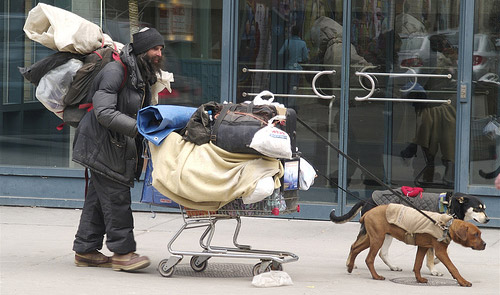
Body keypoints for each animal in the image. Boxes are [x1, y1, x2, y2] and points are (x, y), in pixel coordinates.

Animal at [330, 191, 490, 276]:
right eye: (477, 208)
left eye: (484, 208)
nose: (488, 219)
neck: (450, 206)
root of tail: (367, 199)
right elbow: (431, 255)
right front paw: (433, 269)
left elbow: (442, 253)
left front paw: (435, 262)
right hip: (371, 231)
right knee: (354, 245)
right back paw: (349, 263)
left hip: (387, 232)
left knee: (382, 253)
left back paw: (393, 266)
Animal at [348, 206, 484, 286]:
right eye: (475, 234)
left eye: (480, 234)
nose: (485, 244)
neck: (447, 226)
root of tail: (367, 213)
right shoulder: (440, 251)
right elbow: (453, 267)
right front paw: (463, 281)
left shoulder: (423, 247)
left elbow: (417, 265)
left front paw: (419, 279)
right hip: (377, 239)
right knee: (369, 259)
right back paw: (376, 276)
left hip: (372, 238)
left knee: (354, 248)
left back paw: (350, 266)